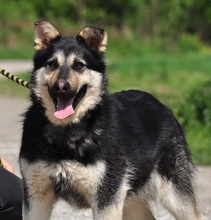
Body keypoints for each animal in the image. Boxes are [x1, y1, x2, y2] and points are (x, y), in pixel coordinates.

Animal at [19, 21, 201, 220]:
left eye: (79, 65)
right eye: (52, 64)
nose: (61, 87)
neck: (67, 131)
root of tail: (162, 105)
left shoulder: (106, 199)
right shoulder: (36, 196)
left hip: (174, 194)